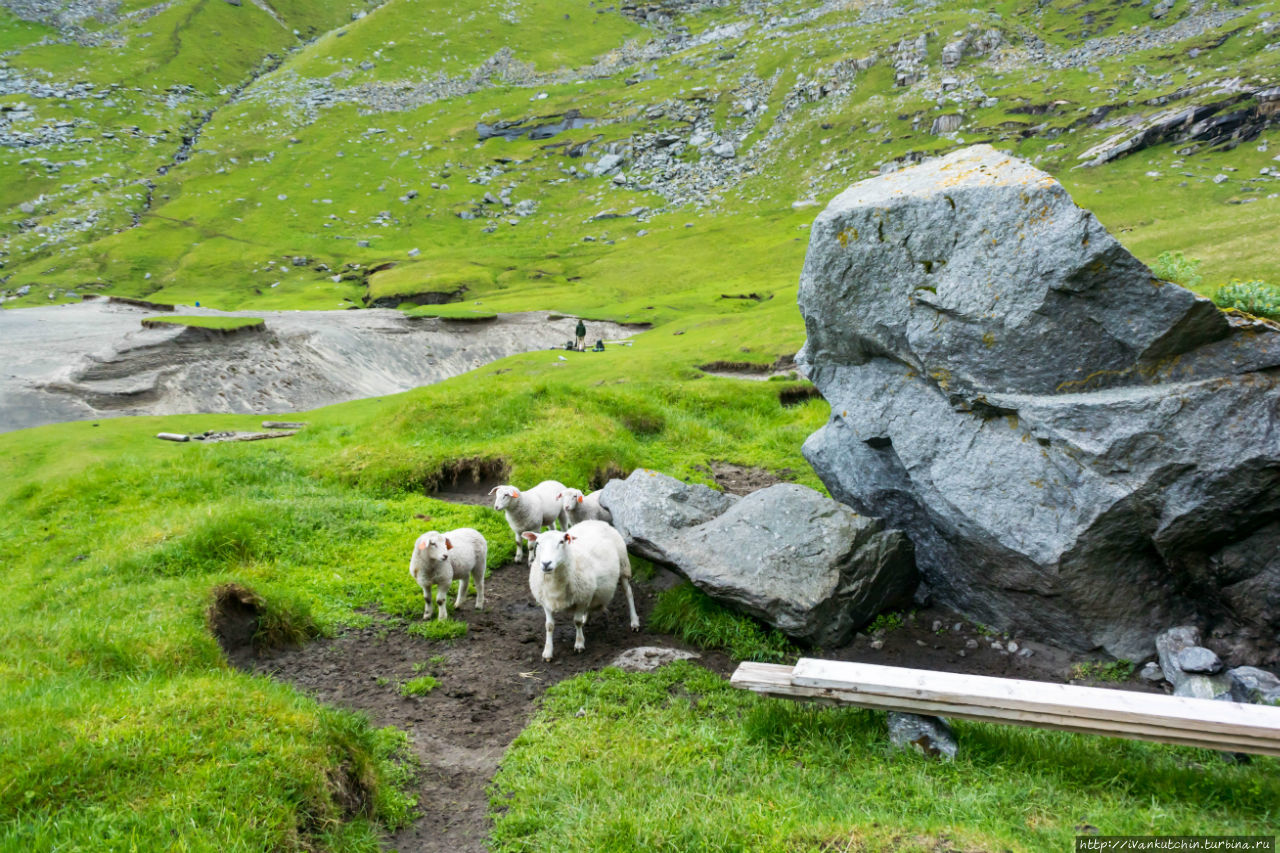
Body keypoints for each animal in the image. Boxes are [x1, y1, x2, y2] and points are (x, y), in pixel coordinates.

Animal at [519, 514, 640, 660]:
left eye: (561, 542)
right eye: (538, 543)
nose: (546, 563)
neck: (555, 583)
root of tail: (594, 521)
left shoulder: (582, 598)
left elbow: (576, 622)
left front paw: (579, 644)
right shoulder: (546, 601)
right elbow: (549, 626)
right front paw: (547, 652)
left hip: (623, 566)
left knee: (629, 593)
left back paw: (634, 622)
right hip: (592, 587)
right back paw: (586, 618)